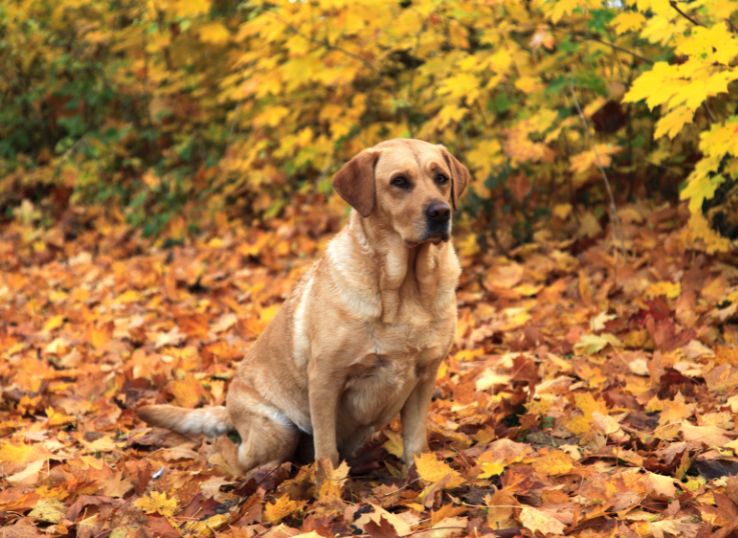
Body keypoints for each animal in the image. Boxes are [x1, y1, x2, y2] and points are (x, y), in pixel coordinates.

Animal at [138, 137, 466, 474]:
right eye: (399, 181)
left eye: (441, 178)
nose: (441, 212)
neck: (405, 289)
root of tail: (230, 408)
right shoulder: (324, 379)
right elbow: (327, 452)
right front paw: (329, 487)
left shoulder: (425, 376)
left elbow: (416, 446)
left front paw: (419, 481)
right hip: (279, 430)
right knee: (235, 459)